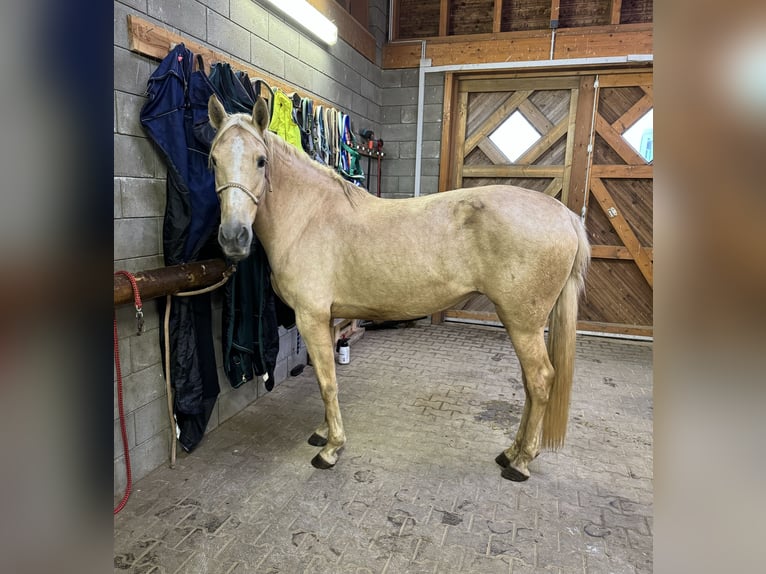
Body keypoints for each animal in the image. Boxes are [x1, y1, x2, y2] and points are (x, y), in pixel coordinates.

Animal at [207, 97, 592, 484]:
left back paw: (520, 462)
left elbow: (328, 384)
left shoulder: (310, 318)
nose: (233, 238)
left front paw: (331, 450)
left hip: (523, 323)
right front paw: (323, 433)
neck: (309, 217)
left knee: (540, 381)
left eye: (261, 160)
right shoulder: (327, 320)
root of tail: (564, 215)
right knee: (530, 384)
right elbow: (325, 379)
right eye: (213, 159)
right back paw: (512, 452)